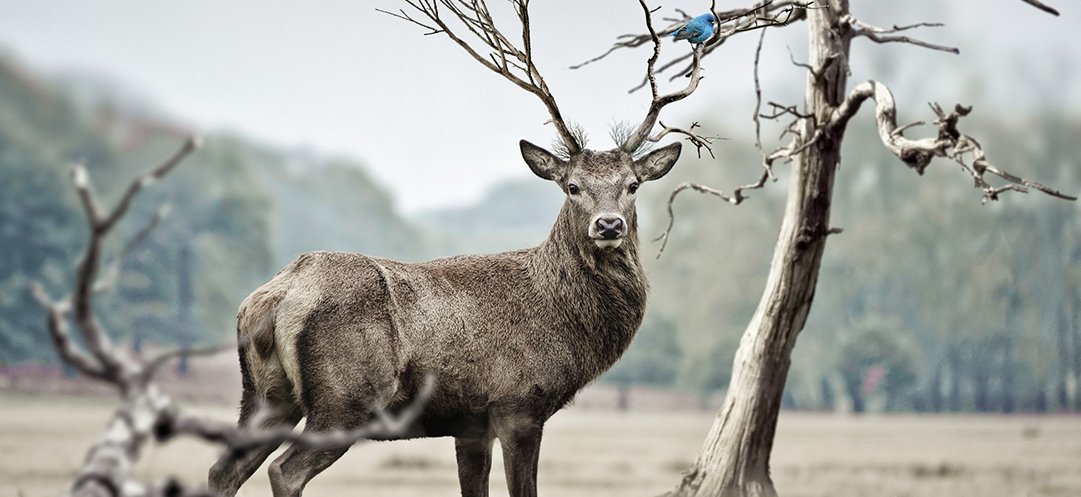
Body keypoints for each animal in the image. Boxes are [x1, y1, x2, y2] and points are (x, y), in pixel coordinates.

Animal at [209, 2, 715, 497]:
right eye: (572, 186)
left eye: (632, 185)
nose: (608, 224)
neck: (564, 323)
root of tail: (273, 295)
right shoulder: (518, 404)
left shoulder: (471, 425)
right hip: (347, 396)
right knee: (285, 470)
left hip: (265, 396)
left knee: (223, 470)